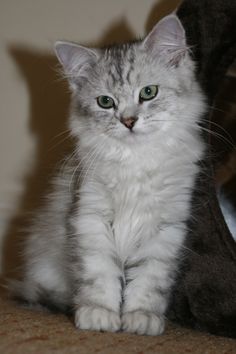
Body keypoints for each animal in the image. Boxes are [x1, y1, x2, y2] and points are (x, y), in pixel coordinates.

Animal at [11, 13, 206, 334]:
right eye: (105, 102)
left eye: (148, 92)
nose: (128, 121)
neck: (135, 163)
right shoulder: (90, 217)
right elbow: (99, 274)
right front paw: (99, 314)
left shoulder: (166, 229)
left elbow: (149, 281)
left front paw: (141, 318)